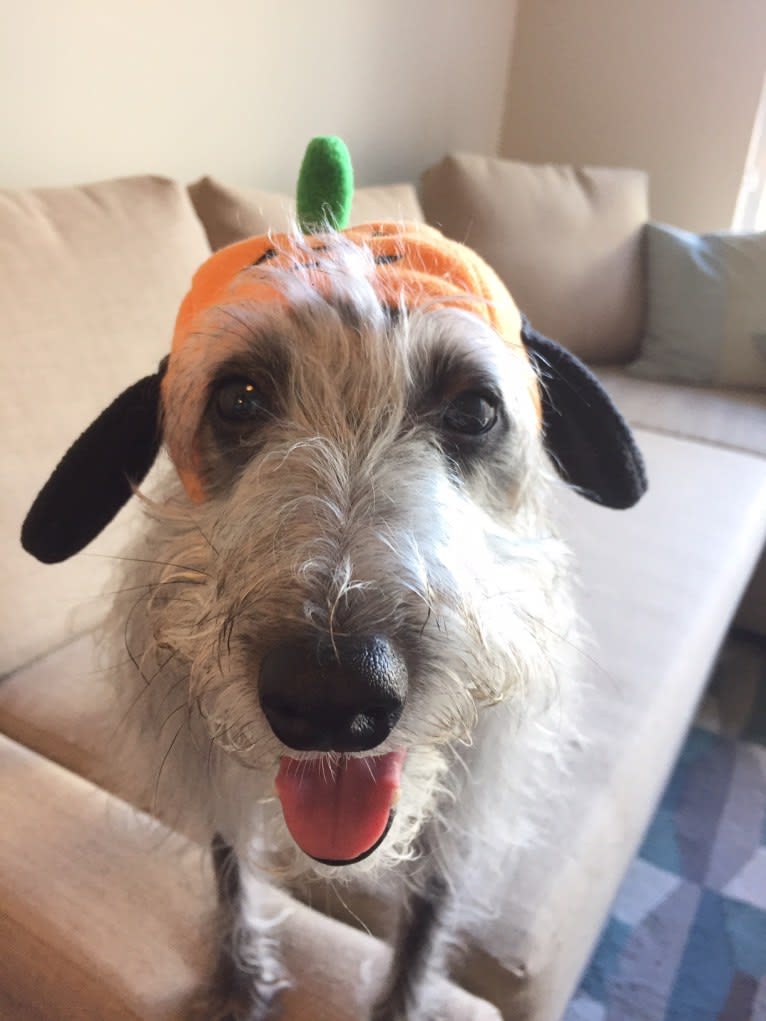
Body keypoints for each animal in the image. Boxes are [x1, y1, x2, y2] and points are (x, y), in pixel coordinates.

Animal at [20, 219, 649, 1016]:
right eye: (238, 399)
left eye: (474, 409)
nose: (331, 693)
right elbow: (230, 862)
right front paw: (239, 979)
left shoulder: (463, 812)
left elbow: (425, 921)